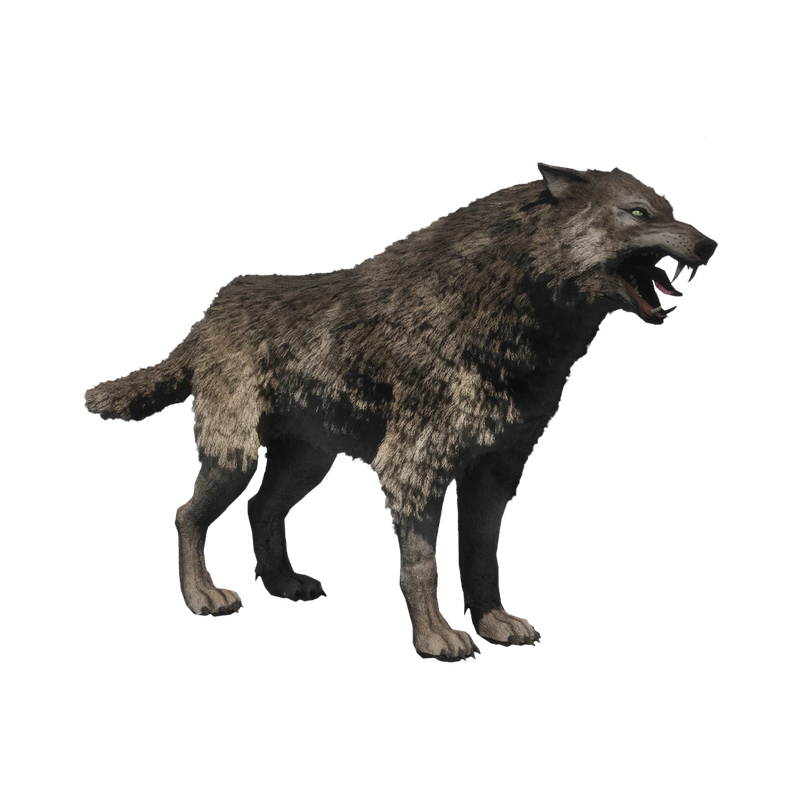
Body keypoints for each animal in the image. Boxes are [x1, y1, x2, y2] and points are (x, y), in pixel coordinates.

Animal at [84, 163, 716, 661]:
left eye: (671, 211)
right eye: (637, 212)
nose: (709, 245)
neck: (510, 320)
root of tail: (214, 308)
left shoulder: (496, 470)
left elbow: (481, 555)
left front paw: (494, 623)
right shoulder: (414, 466)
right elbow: (421, 563)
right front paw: (437, 637)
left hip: (307, 464)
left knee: (261, 510)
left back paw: (284, 583)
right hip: (235, 457)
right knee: (187, 515)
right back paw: (203, 597)